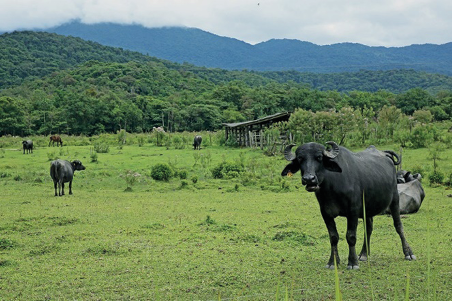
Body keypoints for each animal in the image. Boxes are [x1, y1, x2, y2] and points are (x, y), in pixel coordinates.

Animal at [282, 141, 416, 270]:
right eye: (300, 158)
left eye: (319, 157)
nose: (309, 179)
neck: (331, 188)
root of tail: (385, 154)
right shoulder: (325, 213)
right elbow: (333, 237)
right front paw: (333, 262)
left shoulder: (353, 211)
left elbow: (350, 236)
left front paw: (352, 262)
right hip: (367, 208)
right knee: (369, 228)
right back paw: (363, 254)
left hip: (394, 199)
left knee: (398, 226)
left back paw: (408, 253)